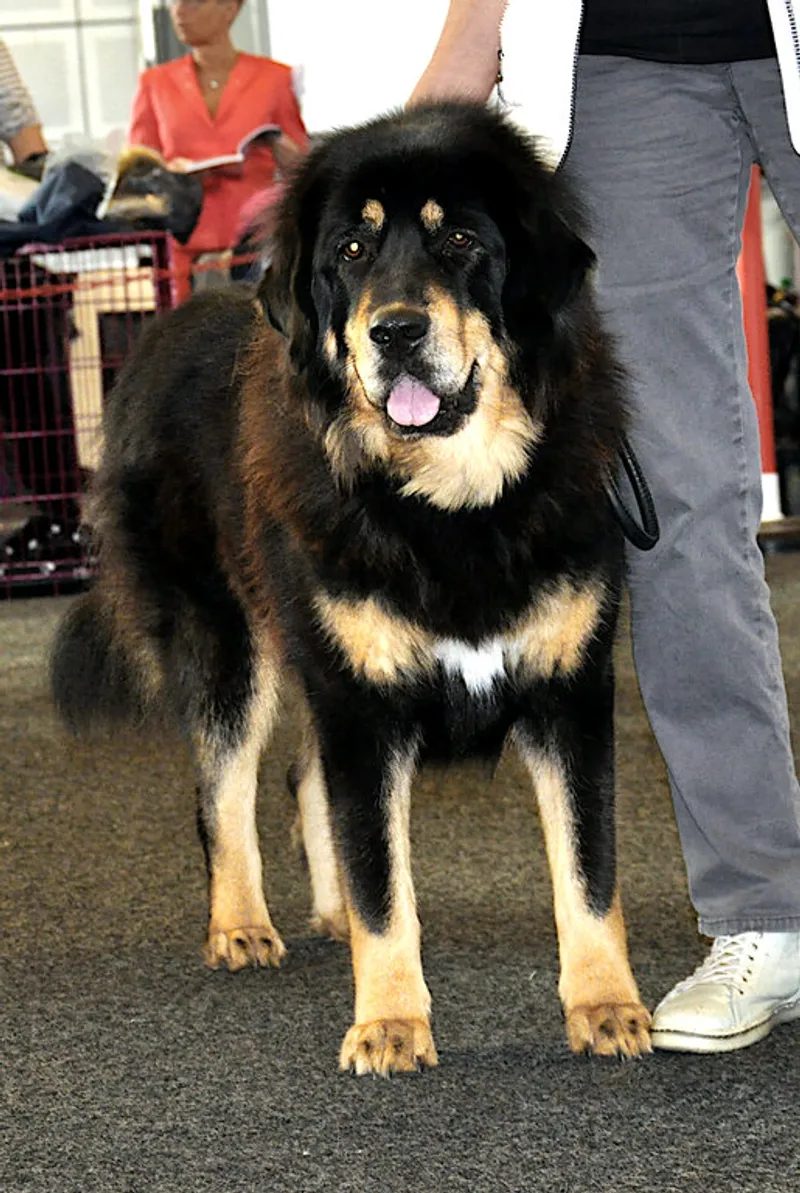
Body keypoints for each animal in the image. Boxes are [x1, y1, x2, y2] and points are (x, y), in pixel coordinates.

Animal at [51, 102, 652, 1075]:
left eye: (459, 240)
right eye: (353, 251)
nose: (395, 332)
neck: (448, 503)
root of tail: (160, 332)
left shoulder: (569, 690)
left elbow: (588, 867)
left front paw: (605, 1003)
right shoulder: (362, 703)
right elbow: (382, 879)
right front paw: (391, 1021)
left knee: (304, 779)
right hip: (231, 643)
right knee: (224, 790)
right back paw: (239, 922)